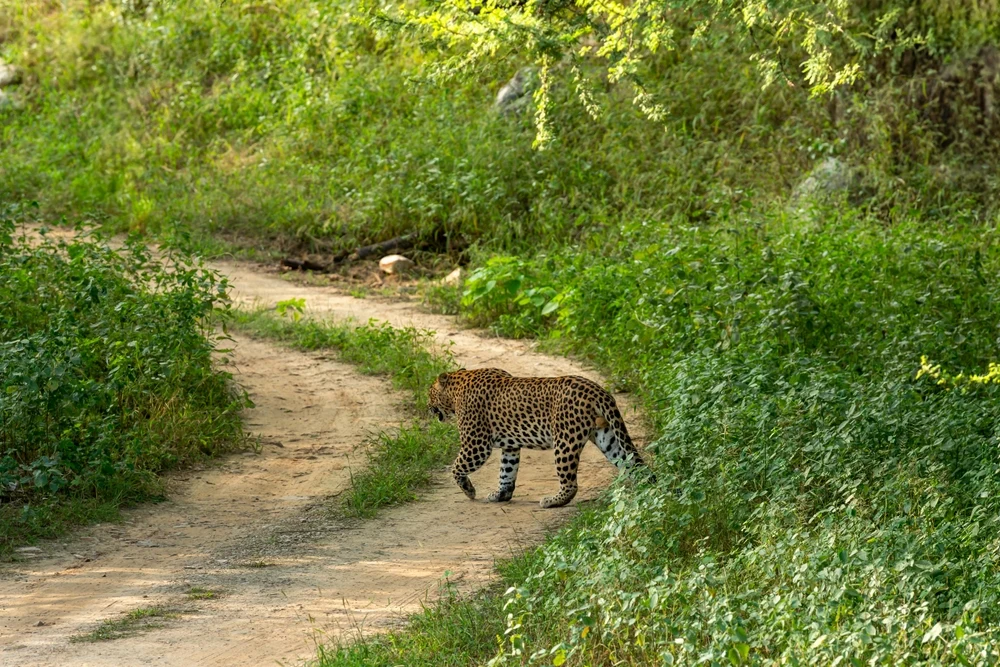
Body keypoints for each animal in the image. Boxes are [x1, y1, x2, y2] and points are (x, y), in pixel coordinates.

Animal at [428, 368, 651, 508]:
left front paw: (469, 491)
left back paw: (552, 501)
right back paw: (646, 490)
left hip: (565, 441)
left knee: (570, 483)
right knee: (632, 463)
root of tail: (598, 390)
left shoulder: (476, 444)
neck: (456, 389)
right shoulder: (510, 447)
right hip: (607, 437)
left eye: (429, 394)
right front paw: (501, 495)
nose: (427, 407)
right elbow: (507, 471)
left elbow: (457, 467)